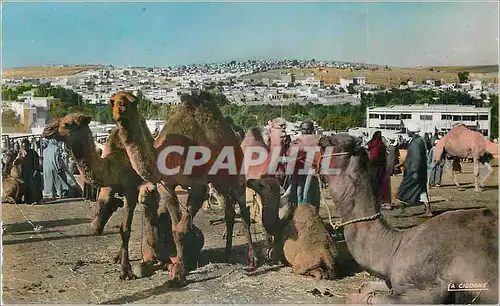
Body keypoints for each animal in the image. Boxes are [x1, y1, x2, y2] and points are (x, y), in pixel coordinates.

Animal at [110, 89, 258, 286]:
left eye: (133, 101)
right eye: (112, 100)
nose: (120, 110)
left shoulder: (198, 187)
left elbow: (182, 228)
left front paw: (180, 271)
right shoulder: (166, 186)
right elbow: (175, 229)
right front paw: (179, 269)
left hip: (236, 174)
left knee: (244, 210)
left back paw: (252, 260)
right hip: (217, 181)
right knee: (228, 209)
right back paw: (226, 254)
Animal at [318, 133, 498, 304]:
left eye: (330, 142)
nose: (320, 138)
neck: (396, 247)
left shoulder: (429, 290)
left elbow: (354, 298)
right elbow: (366, 287)